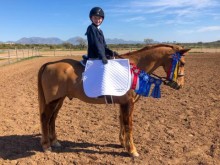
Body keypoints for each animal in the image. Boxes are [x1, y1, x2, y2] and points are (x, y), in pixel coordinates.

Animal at [37, 43, 191, 157]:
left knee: (52, 118)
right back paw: (46, 146)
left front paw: (123, 143)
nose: (180, 85)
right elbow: (128, 124)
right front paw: (132, 150)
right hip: (53, 101)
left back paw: (55, 142)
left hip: (59, 100)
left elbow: (122, 121)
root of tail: (50, 64)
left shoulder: (123, 103)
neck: (132, 69)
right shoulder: (128, 103)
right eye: (182, 63)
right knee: (45, 118)